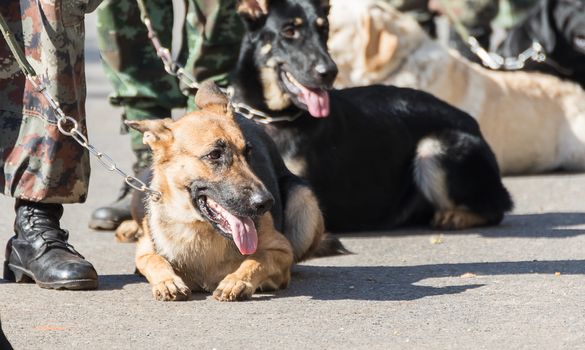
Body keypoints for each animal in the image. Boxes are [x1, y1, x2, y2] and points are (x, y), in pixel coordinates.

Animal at [121, 82, 344, 300]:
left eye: (248, 152)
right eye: (214, 155)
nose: (266, 203)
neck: (200, 229)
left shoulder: (281, 250)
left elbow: (258, 258)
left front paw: (237, 280)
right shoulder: (145, 250)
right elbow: (154, 260)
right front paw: (168, 281)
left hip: (303, 197)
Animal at [228, 0, 512, 234]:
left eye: (324, 29)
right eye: (289, 31)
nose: (329, 72)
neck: (274, 117)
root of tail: (472, 123)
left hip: (433, 147)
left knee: (496, 209)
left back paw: (455, 216)